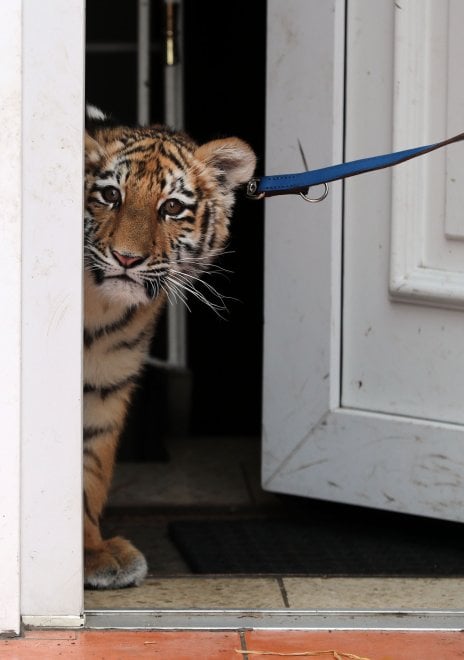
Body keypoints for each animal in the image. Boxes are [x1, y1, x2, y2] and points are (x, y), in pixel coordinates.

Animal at [83, 105, 256, 588]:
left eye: (172, 207)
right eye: (110, 195)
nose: (126, 258)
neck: (98, 308)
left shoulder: (104, 382)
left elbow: (89, 470)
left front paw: (92, 553)